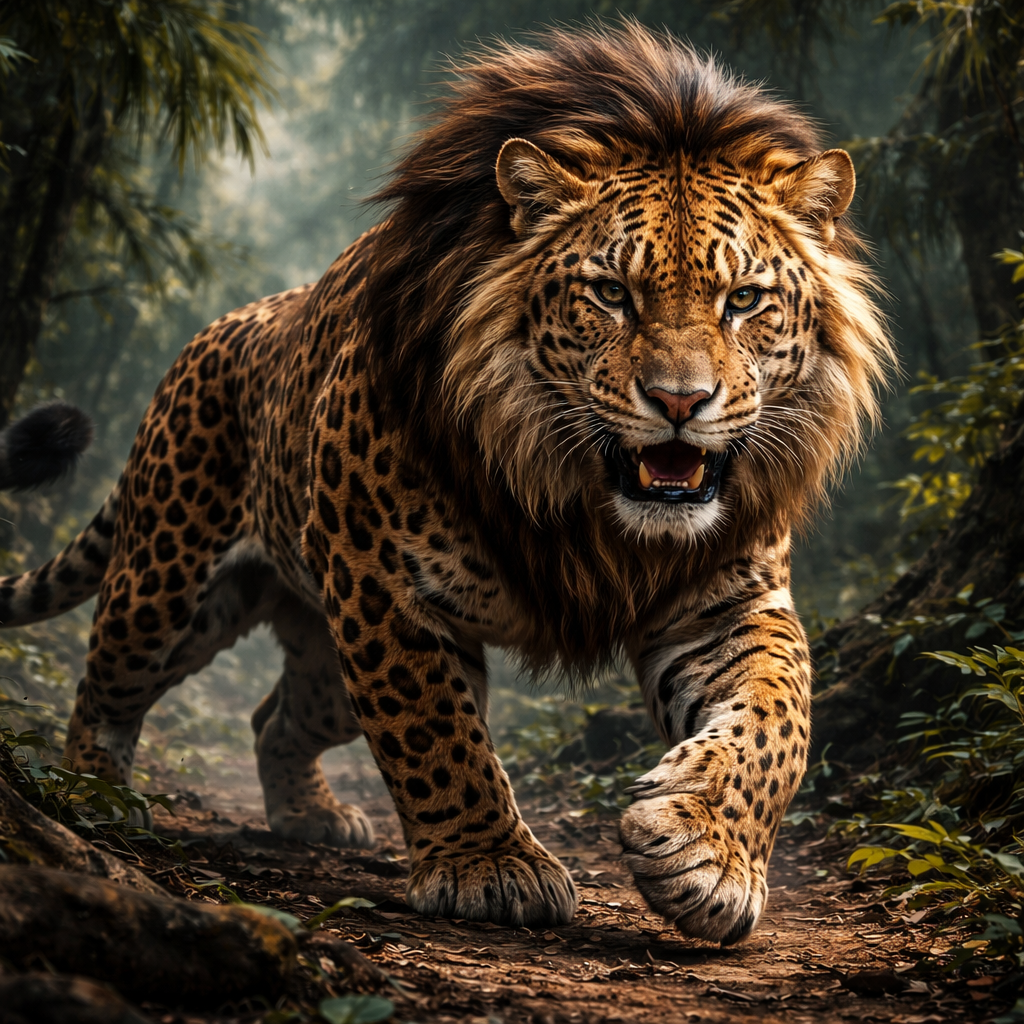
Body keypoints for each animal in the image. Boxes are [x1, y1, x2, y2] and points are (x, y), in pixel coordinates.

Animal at [0, 23, 892, 944]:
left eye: (744, 300)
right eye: (611, 292)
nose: (681, 401)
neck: (591, 511)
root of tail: (222, 328)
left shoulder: (731, 600)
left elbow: (780, 719)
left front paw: (707, 855)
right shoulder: (385, 588)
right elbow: (434, 729)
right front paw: (490, 868)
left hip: (318, 648)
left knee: (274, 716)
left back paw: (311, 816)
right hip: (171, 585)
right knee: (105, 683)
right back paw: (89, 796)